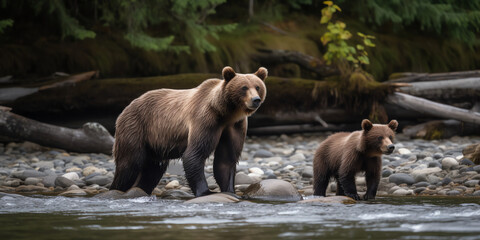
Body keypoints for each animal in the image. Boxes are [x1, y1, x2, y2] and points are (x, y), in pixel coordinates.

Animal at [111, 66, 268, 197]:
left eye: (258, 86)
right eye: (244, 87)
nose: (255, 99)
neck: (226, 113)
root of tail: (127, 107)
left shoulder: (235, 126)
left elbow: (226, 159)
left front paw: (229, 191)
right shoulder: (206, 120)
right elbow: (194, 154)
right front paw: (205, 192)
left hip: (155, 144)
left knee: (152, 170)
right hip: (136, 128)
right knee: (129, 164)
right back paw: (118, 189)